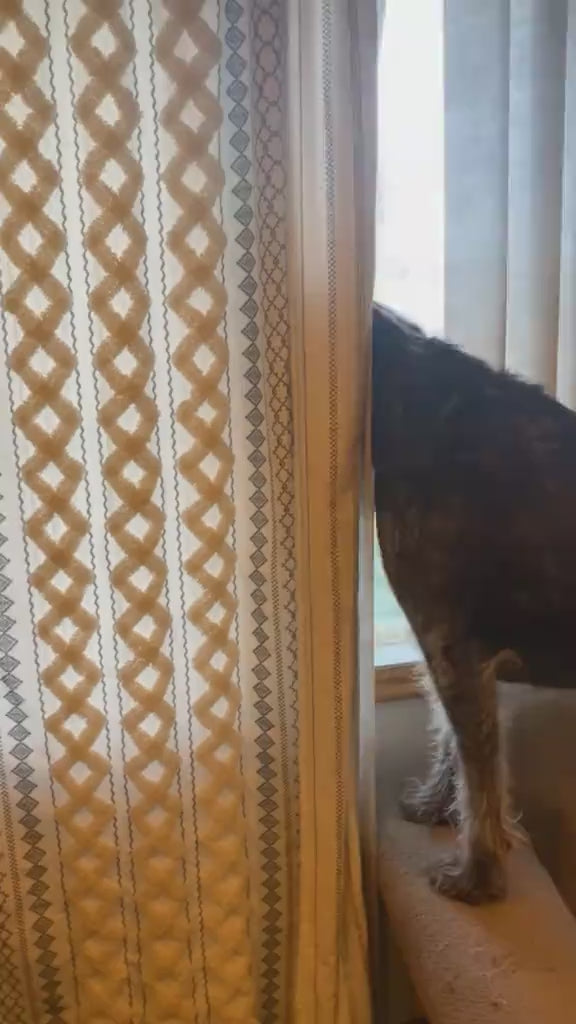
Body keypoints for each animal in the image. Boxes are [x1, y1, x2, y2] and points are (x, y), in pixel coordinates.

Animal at [372, 303, 576, 903]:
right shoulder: (457, 657)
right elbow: (451, 740)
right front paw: (433, 805)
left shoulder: (451, 647)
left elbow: (480, 775)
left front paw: (477, 876)